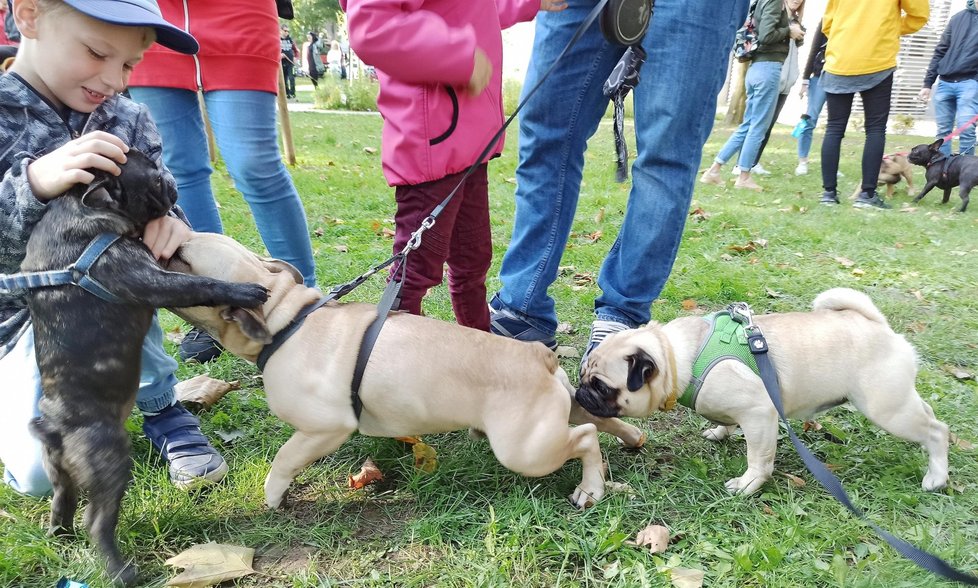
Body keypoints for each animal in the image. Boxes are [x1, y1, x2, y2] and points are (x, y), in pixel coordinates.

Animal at [21, 149, 266, 584]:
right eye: (150, 174)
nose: (166, 170)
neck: (81, 208)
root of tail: (54, 426)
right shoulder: (147, 277)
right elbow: (201, 284)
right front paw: (245, 291)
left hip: (59, 470)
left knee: (63, 498)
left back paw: (59, 534)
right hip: (109, 460)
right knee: (97, 520)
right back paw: (121, 572)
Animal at [576, 290, 948, 496]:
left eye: (602, 387)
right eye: (582, 378)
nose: (580, 394)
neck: (677, 356)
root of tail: (880, 326)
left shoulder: (759, 415)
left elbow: (759, 458)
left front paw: (749, 484)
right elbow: (725, 421)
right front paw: (720, 431)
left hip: (886, 408)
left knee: (937, 430)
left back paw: (936, 476)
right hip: (897, 400)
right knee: (929, 415)